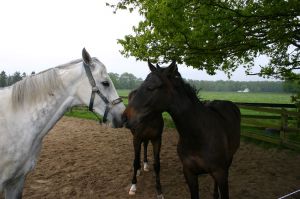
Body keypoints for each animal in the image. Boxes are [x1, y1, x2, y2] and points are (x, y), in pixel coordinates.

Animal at [123, 61, 240, 199]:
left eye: (151, 87)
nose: (125, 117)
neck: (198, 136)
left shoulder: (220, 173)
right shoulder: (189, 173)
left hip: (228, 162)